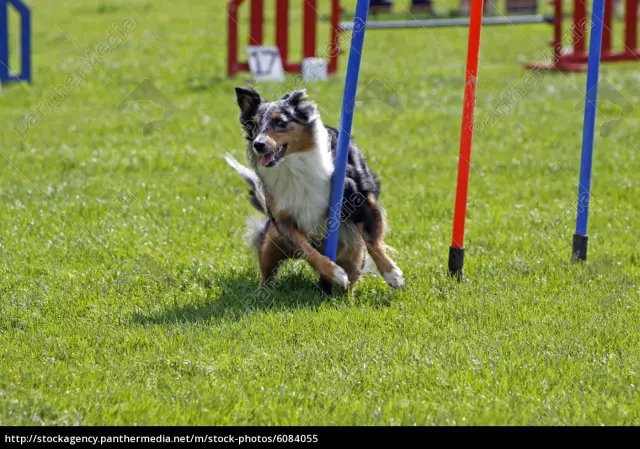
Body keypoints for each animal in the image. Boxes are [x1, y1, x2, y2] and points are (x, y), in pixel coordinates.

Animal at [226, 86, 404, 294]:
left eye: (279, 122)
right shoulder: (284, 221)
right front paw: (335, 273)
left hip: (353, 253)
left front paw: (392, 274)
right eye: (254, 124)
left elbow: (372, 239)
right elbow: (307, 250)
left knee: (352, 280)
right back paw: (264, 293)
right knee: (266, 271)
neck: (293, 165)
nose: (258, 145)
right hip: (271, 242)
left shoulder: (358, 196)